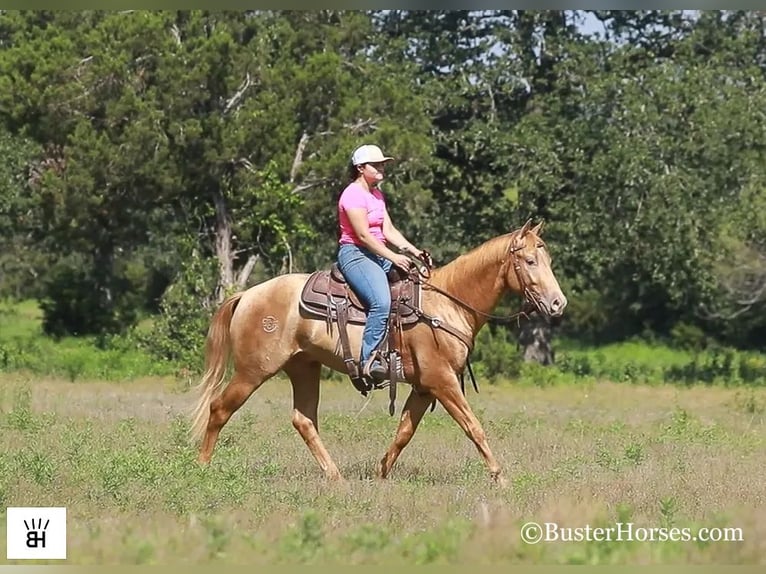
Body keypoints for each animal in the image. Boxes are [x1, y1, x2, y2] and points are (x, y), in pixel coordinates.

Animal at [189, 219, 568, 486]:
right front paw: (501, 478)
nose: (557, 303)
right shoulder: (443, 381)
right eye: (530, 260)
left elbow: (404, 433)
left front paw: (380, 474)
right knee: (220, 408)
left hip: (304, 367)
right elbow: (474, 428)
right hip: (254, 370)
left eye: (547, 258)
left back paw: (336, 478)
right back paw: (202, 467)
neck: (446, 304)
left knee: (304, 420)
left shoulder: (423, 387)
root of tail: (247, 295)